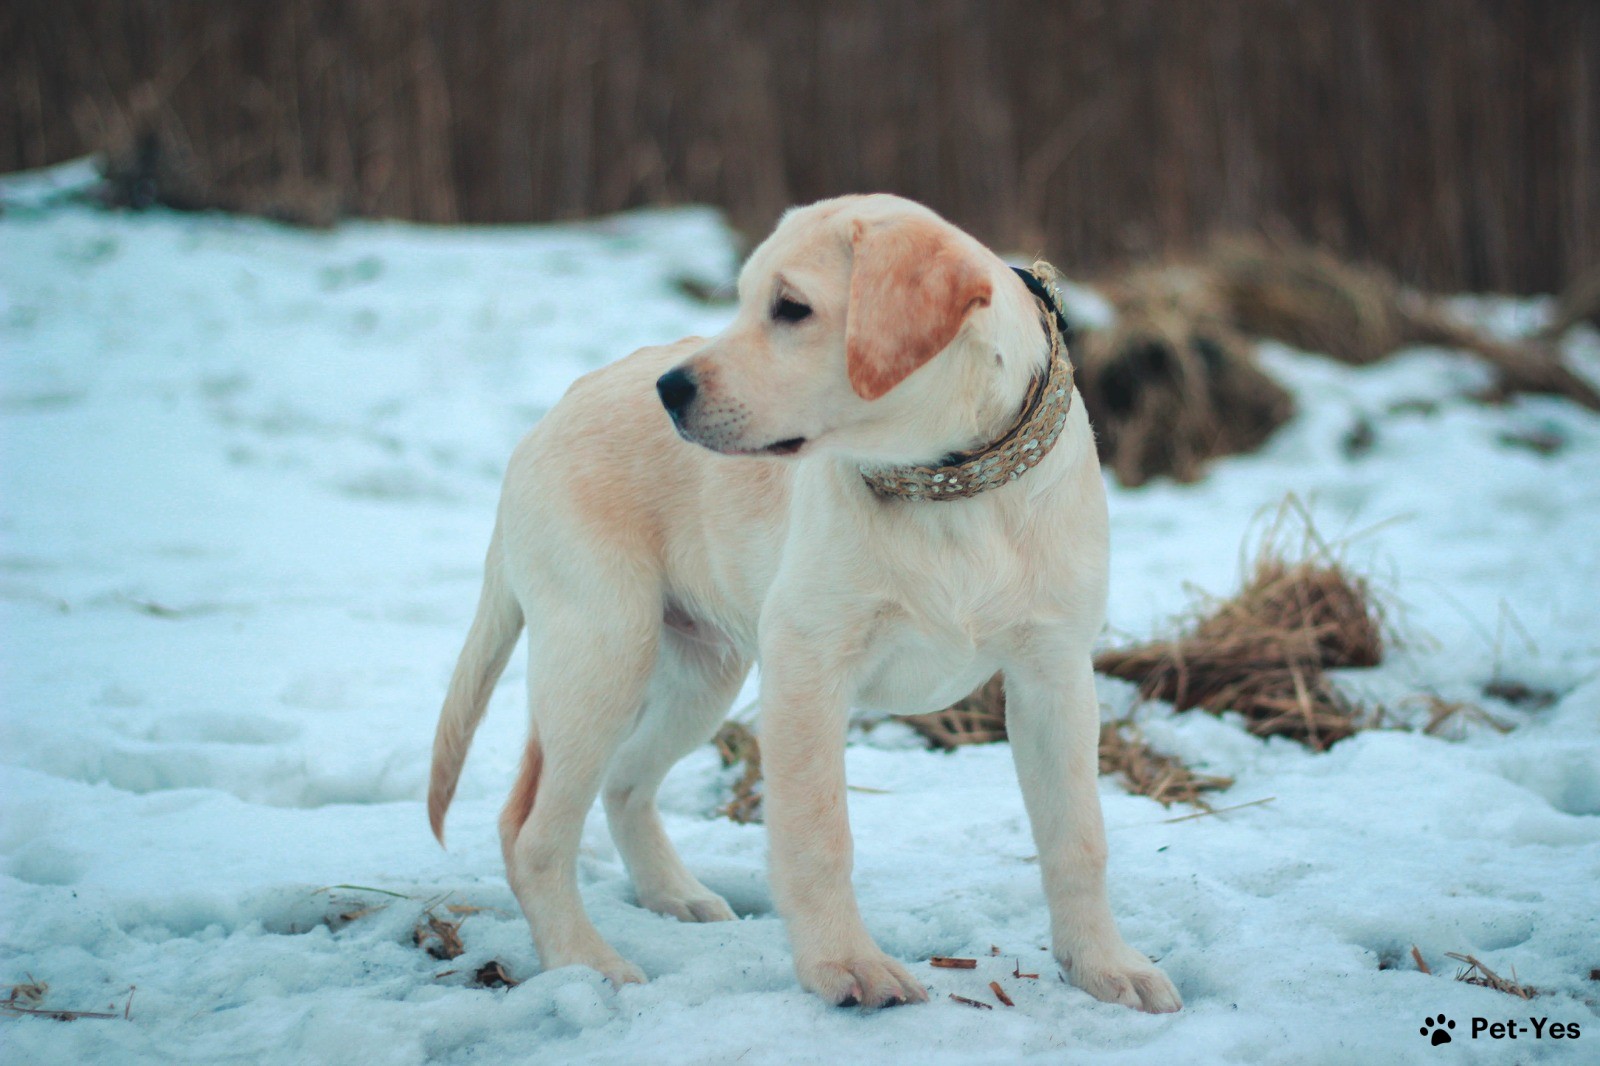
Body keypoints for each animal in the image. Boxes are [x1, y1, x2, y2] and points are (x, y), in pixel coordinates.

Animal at [432, 192, 1184, 1011]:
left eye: (791, 308)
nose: (668, 391)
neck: (944, 486)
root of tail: (546, 420)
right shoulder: (807, 663)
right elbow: (819, 834)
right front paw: (845, 965)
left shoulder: (1055, 673)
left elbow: (1078, 838)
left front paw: (1104, 965)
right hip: (602, 651)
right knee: (532, 830)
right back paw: (584, 962)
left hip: (699, 673)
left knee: (625, 784)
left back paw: (675, 896)